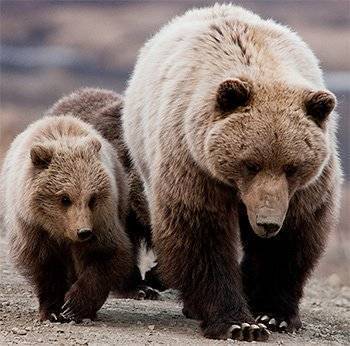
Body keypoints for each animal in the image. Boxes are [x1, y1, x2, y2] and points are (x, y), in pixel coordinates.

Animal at [0, 114, 133, 322]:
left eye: (92, 198)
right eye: (64, 198)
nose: (84, 232)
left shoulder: (102, 221)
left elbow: (106, 255)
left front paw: (74, 306)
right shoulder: (33, 228)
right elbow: (45, 267)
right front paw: (53, 310)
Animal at [121, 4, 340, 342]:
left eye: (291, 167)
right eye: (251, 163)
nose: (267, 223)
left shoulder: (304, 189)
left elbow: (292, 238)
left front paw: (273, 314)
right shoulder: (193, 163)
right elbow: (201, 236)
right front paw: (238, 323)